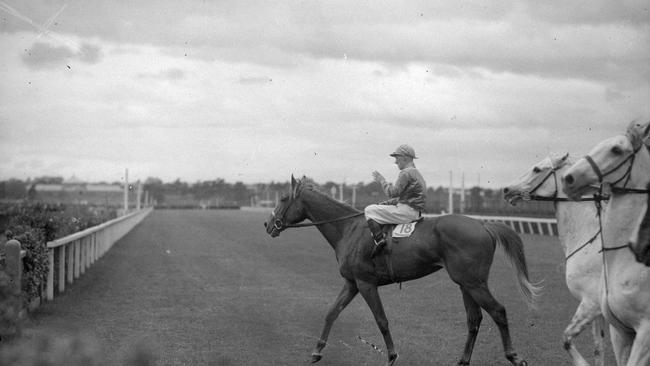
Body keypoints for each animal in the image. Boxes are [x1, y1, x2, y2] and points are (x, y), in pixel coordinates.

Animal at [504, 152, 604, 366]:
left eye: (536, 169)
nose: (506, 189)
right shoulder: (598, 311)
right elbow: (598, 350)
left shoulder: (591, 303)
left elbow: (566, 340)